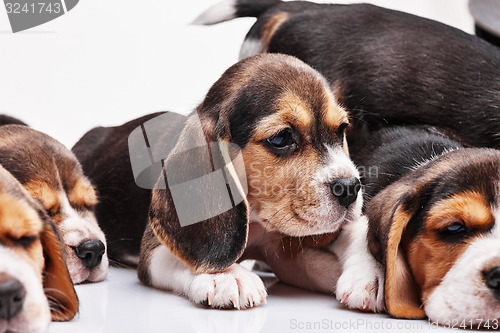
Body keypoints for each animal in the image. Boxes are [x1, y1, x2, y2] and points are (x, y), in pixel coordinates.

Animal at [74, 53, 384, 310]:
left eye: (341, 130)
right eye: (281, 138)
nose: (350, 188)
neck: (257, 222)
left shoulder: (283, 250)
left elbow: (350, 237)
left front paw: (371, 275)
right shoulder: (152, 253)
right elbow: (189, 258)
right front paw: (226, 276)